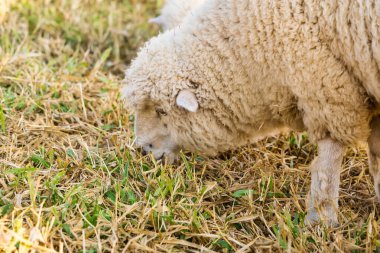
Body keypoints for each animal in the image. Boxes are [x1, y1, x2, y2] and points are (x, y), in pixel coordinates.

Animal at [122, 0, 380, 226]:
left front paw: (321, 220)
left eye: (161, 111)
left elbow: (328, 164)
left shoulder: (328, 89)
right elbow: (376, 154)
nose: (143, 150)